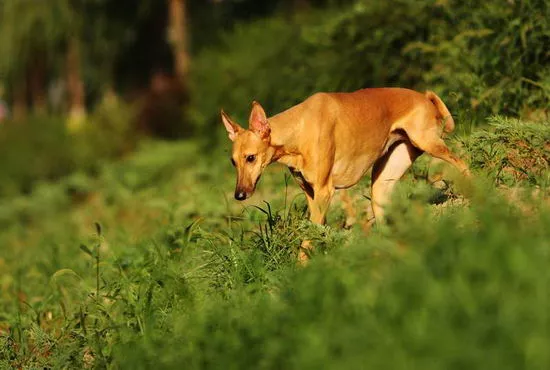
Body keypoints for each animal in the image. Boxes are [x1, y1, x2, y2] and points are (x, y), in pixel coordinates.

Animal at [222, 87, 472, 260]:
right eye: (233, 162)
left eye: (251, 157)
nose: (239, 195)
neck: (299, 128)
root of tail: (424, 96)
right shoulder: (312, 194)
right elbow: (316, 232)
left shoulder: (324, 191)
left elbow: (308, 238)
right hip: (381, 184)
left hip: (431, 144)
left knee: (463, 164)